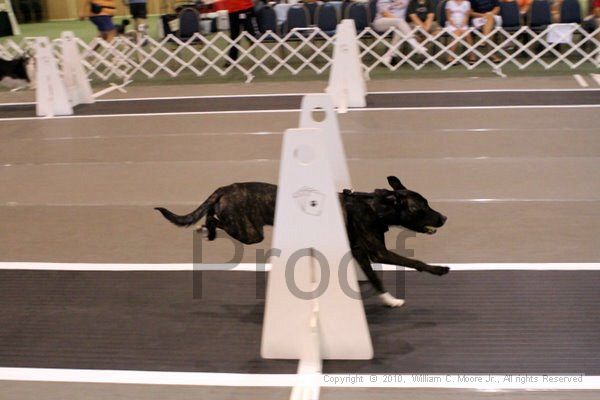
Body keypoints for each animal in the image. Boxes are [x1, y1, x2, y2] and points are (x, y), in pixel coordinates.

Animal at [157, 177, 448, 308]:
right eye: (422, 208)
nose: (444, 217)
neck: (374, 207)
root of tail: (226, 188)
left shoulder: (361, 253)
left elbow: (376, 280)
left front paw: (389, 300)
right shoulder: (378, 252)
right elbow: (415, 261)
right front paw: (439, 269)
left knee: (214, 217)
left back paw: (204, 228)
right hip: (251, 232)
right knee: (215, 218)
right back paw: (206, 229)